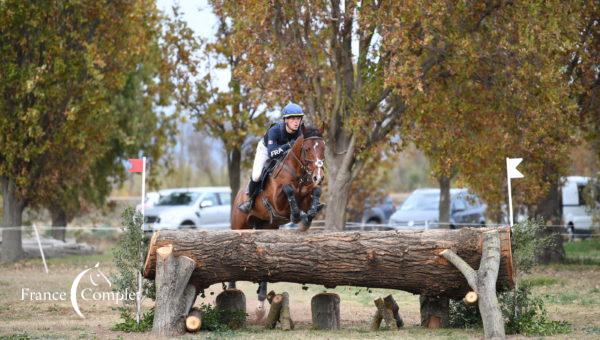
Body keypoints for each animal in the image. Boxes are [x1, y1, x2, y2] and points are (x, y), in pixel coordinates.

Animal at [229, 125, 324, 318]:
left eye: (323, 148)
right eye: (307, 149)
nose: (318, 176)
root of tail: (238, 195)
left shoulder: (306, 191)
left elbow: (314, 192)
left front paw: (309, 215)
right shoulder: (278, 203)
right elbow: (288, 190)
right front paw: (297, 215)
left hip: (267, 227)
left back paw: (261, 302)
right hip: (239, 225)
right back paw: (232, 290)